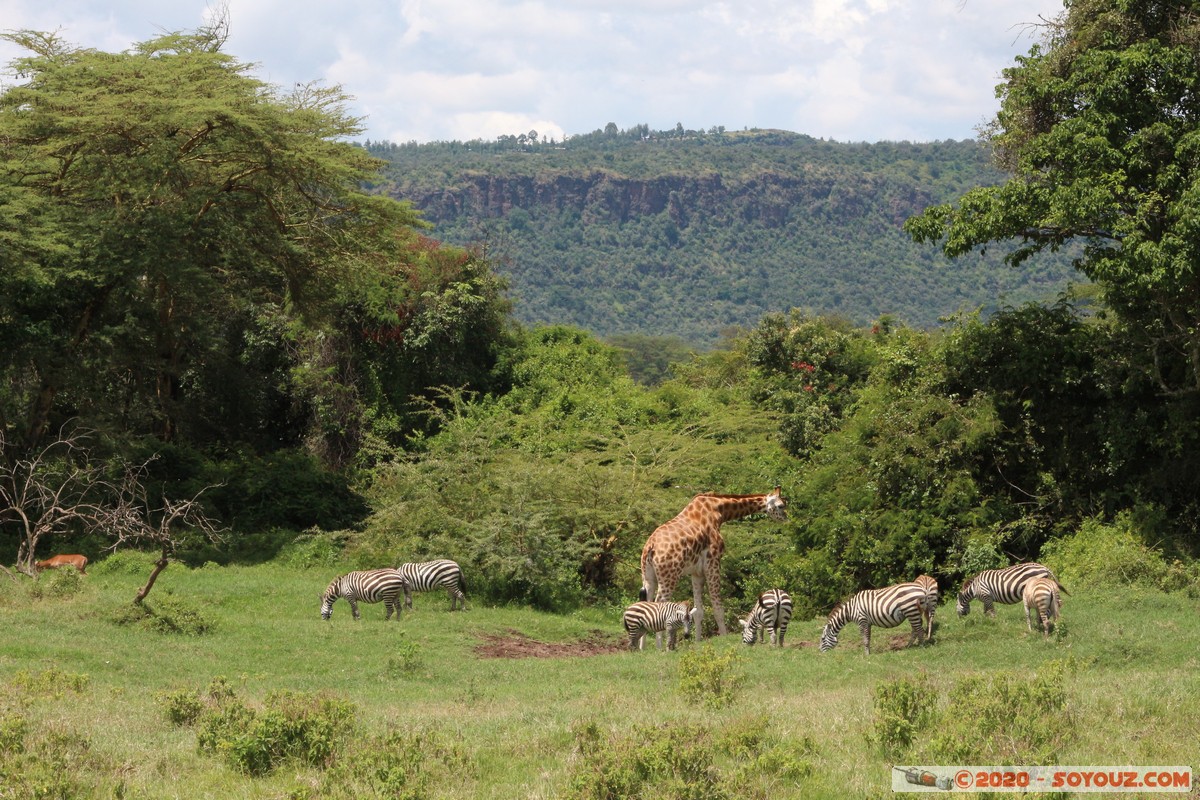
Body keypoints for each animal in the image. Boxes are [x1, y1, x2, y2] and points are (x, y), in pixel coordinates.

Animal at [640, 486, 787, 642]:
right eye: (781, 505)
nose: (786, 519)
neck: (719, 511)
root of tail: (650, 547)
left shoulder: (696, 571)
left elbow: (698, 611)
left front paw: (697, 642)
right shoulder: (713, 562)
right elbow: (718, 608)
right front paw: (725, 638)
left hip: (648, 577)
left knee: (646, 605)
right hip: (669, 577)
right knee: (658, 606)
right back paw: (660, 645)